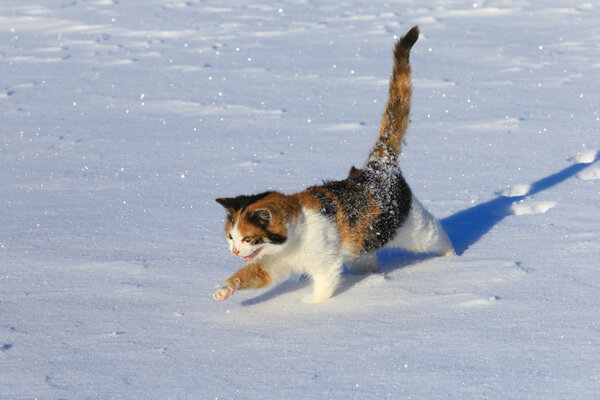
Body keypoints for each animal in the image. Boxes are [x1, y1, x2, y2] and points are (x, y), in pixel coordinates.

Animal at [213, 26, 452, 304]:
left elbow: (324, 289)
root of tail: (379, 165)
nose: (235, 251)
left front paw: (312, 307)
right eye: (230, 236)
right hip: (364, 245)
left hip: (414, 228)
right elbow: (252, 274)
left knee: (438, 236)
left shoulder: (325, 264)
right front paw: (225, 289)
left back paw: (453, 258)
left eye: (249, 238)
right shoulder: (273, 263)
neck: (295, 237)